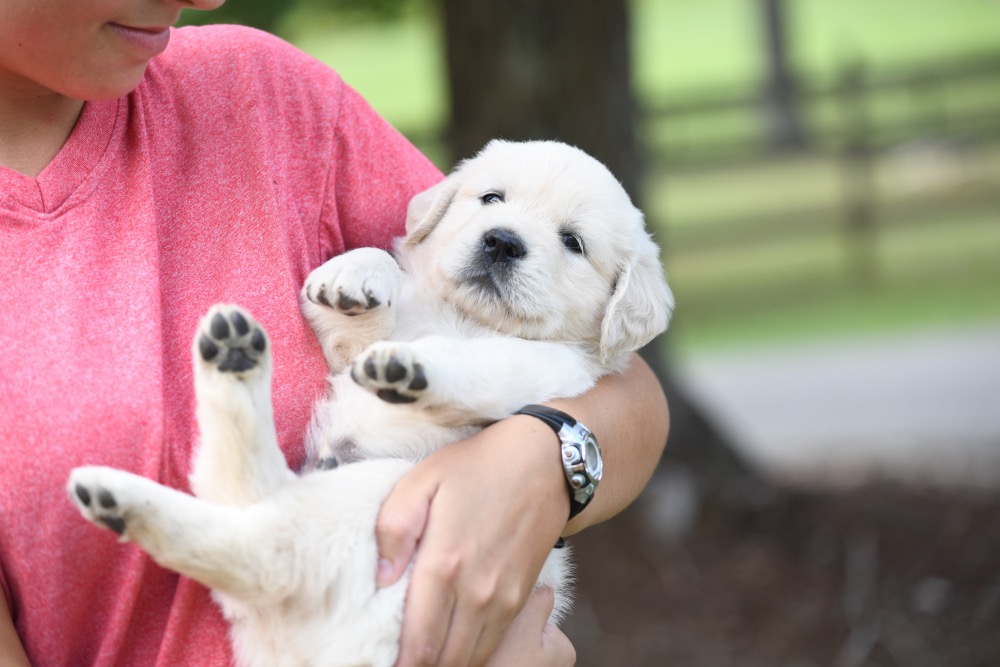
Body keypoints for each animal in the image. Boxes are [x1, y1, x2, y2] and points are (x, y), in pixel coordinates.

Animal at [68, 141, 672, 667]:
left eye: (573, 242)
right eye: (491, 198)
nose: (501, 241)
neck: (465, 317)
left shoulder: (547, 367)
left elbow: (477, 363)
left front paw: (411, 365)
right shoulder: (350, 351)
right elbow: (375, 276)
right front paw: (351, 276)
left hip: (365, 505)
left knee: (259, 538)